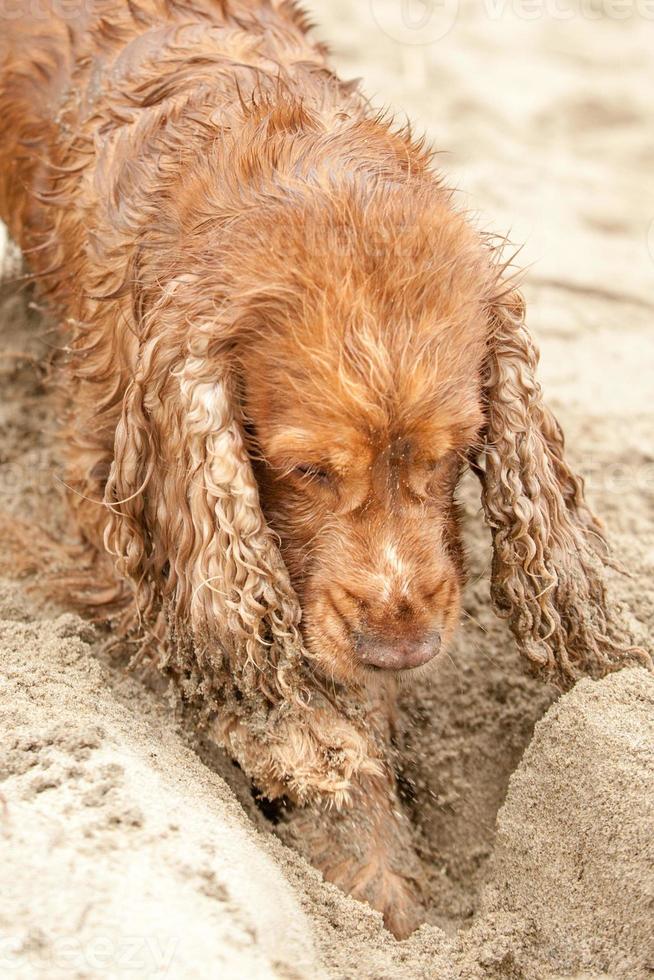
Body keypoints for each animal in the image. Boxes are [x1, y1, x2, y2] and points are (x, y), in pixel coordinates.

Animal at [0, 0, 648, 936]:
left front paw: (378, 874)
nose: (404, 648)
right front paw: (313, 762)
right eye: (304, 470)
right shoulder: (119, 498)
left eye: (457, 452)